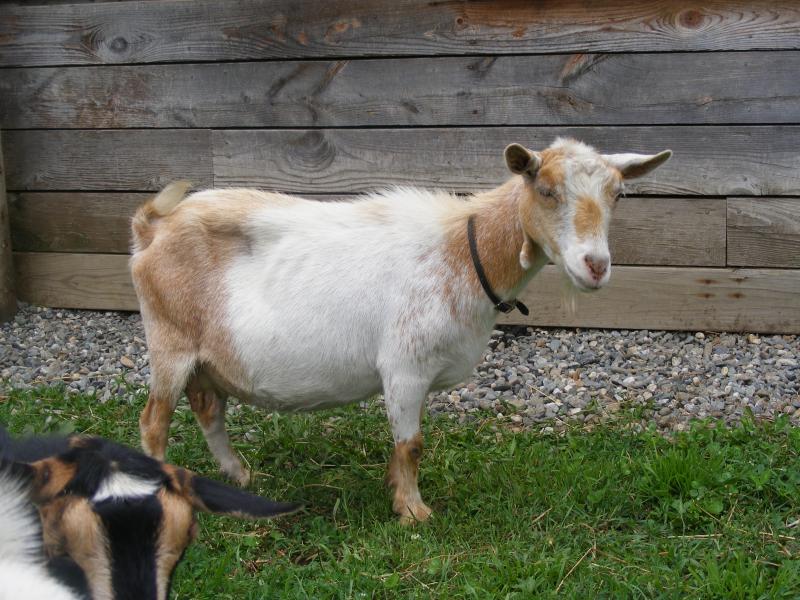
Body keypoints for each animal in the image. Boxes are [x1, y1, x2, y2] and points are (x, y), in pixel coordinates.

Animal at [130, 137, 671, 524]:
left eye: (618, 194)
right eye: (546, 190)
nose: (595, 265)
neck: (465, 250)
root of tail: (152, 227)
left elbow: (404, 447)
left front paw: (396, 492)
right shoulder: (404, 366)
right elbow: (412, 445)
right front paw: (414, 512)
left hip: (208, 355)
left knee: (209, 410)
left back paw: (239, 475)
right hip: (169, 342)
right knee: (154, 421)